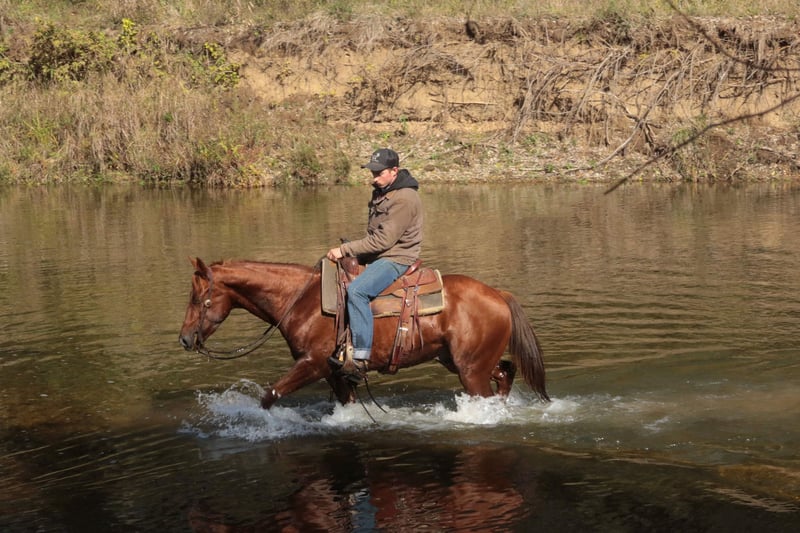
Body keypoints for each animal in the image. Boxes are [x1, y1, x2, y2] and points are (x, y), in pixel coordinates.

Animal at [178, 257, 549, 409]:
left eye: (198, 298)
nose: (184, 338)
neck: (301, 299)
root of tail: (498, 293)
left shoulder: (313, 364)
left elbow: (270, 396)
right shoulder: (335, 372)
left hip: (470, 371)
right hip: (463, 361)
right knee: (506, 372)